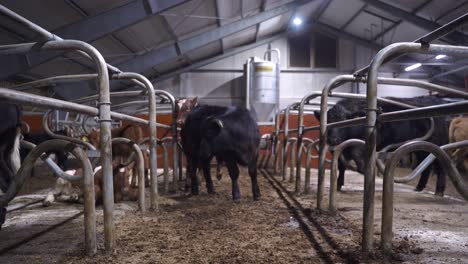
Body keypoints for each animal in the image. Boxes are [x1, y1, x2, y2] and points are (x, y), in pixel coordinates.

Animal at [314, 96, 450, 196]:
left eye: (344, 122)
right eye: (328, 122)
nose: (333, 139)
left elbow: (356, 157)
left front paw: (365, 172)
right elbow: (341, 165)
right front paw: (339, 183)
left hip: (438, 144)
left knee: (440, 165)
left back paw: (439, 190)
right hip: (421, 148)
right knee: (426, 166)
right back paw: (419, 187)